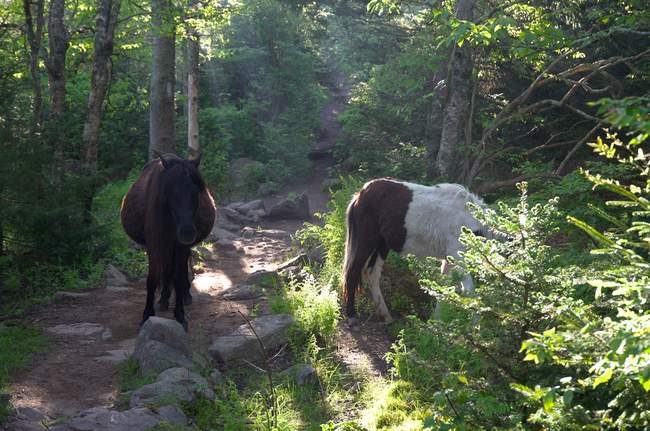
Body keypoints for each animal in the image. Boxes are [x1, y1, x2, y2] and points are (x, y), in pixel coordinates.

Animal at [120, 153, 216, 331]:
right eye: (170, 192)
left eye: (197, 191)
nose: (187, 232)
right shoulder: (153, 244)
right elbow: (152, 278)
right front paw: (147, 314)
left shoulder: (180, 246)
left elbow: (178, 278)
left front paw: (180, 315)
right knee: (167, 270)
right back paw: (163, 299)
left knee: (180, 270)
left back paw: (185, 295)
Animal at [342, 178, 488, 328]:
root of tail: (360, 195)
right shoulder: (458, 257)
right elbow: (469, 291)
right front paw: (475, 327)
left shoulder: (449, 261)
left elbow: (443, 289)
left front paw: (435, 324)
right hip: (366, 242)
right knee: (352, 272)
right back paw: (352, 317)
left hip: (382, 246)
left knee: (372, 275)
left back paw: (386, 316)